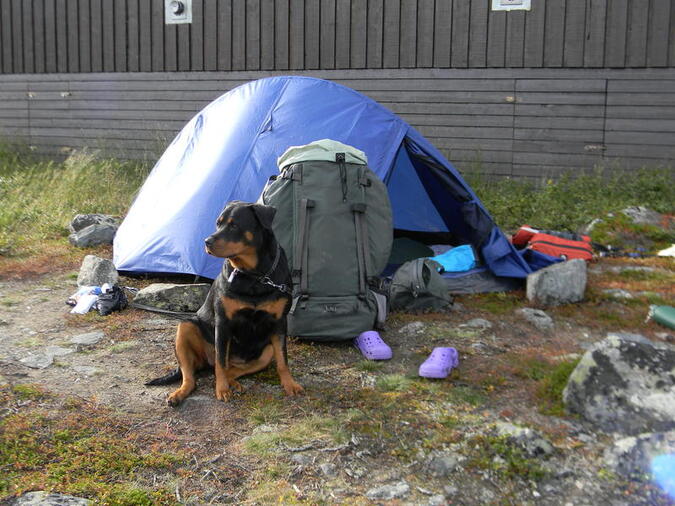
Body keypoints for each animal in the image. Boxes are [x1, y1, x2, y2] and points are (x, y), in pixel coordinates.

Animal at [147, 200, 302, 406]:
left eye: (234, 225)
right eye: (218, 223)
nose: (207, 241)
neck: (254, 276)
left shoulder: (279, 323)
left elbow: (283, 360)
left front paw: (290, 385)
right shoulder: (223, 323)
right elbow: (221, 361)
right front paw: (221, 390)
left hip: (266, 353)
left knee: (232, 370)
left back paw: (233, 383)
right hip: (185, 327)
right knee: (194, 375)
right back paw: (179, 394)